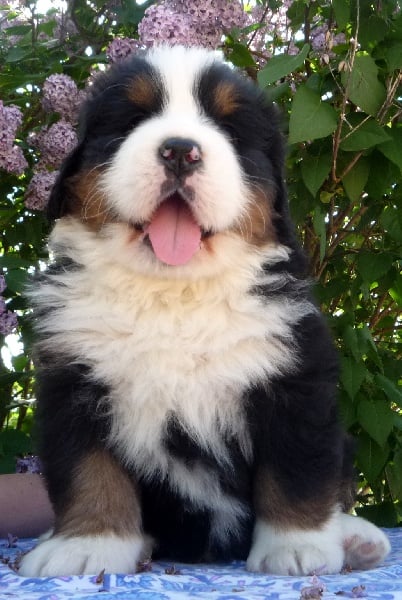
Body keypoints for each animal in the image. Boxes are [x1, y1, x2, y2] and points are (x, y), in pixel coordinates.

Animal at [20, 45, 390, 577]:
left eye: (230, 130)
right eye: (132, 120)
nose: (180, 150)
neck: (173, 295)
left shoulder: (294, 376)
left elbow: (296, 470)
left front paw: (296, 548)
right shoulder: (74, 380)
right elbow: (91, 471)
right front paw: (86, 545)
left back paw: (356, 538)